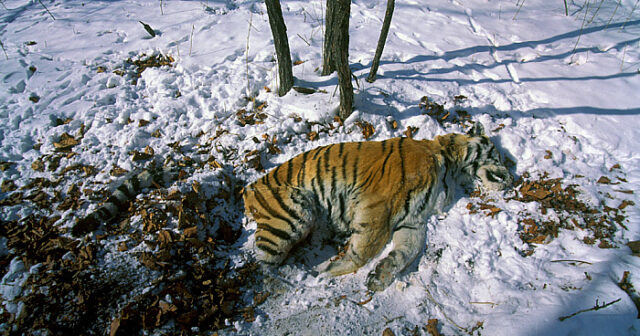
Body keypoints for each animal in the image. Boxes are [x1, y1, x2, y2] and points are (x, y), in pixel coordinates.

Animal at [242, 123, 512, 292]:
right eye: (496, 155)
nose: (512, 178)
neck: (450, 165)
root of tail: (247, 188)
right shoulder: (378, 204)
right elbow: (364, 248)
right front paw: (328, 270)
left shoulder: (413, 219)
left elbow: (407, 250)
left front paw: (380, 276)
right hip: (291, 216)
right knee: (264, 266)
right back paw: (296, 276)